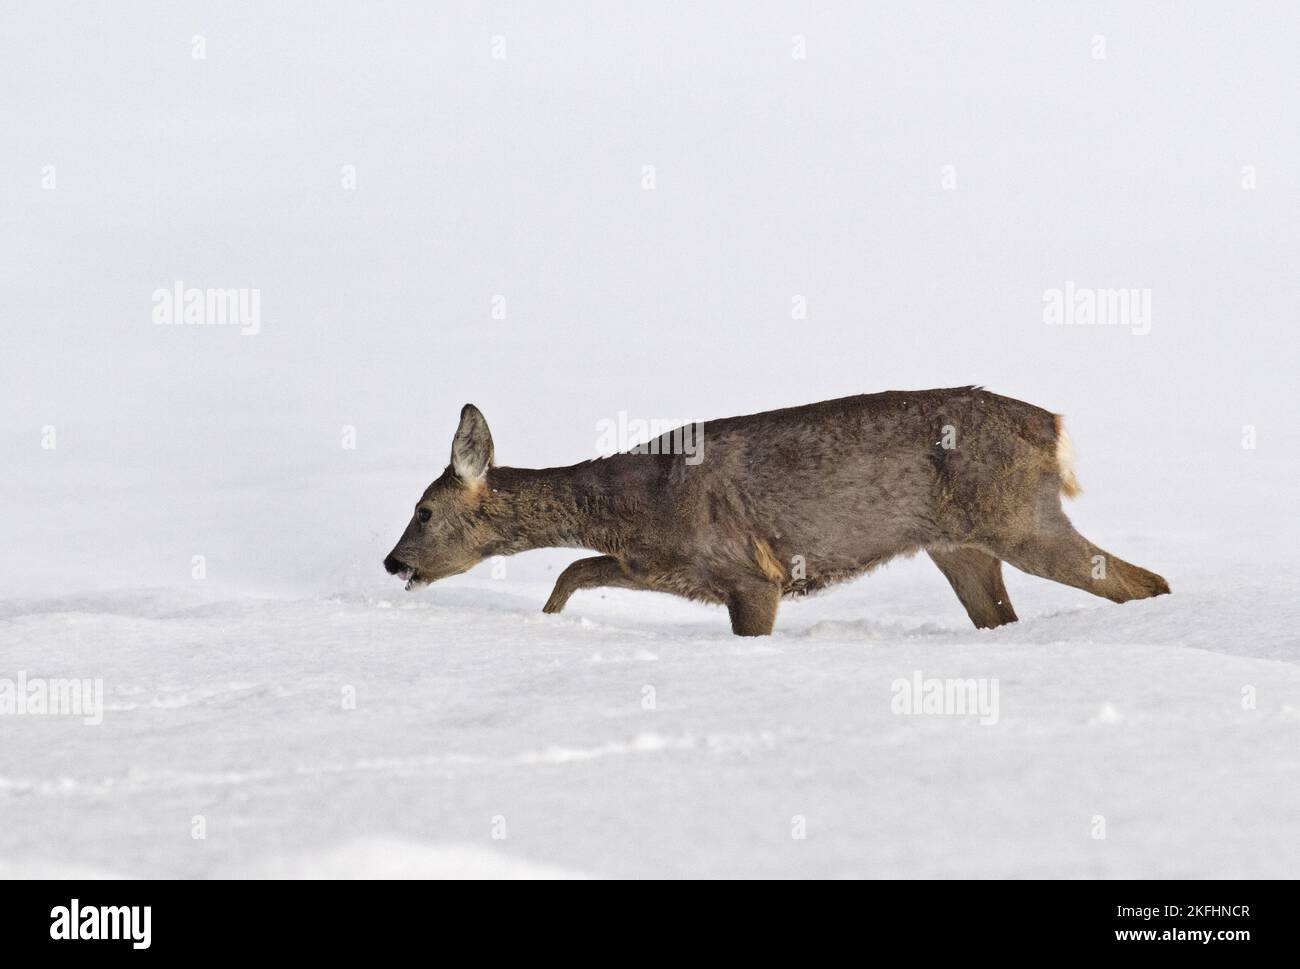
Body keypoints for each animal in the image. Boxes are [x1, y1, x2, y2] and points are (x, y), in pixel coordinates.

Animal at [383, 388, 1170, 636]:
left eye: (423, 510)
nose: (392, 562)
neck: (635, 503)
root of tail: (1052, 427)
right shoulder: (670, 567)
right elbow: (575, 569)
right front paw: (545, 626)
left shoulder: (752, 574)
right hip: (961, 545)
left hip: (1018, 519)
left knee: (1146, 581)